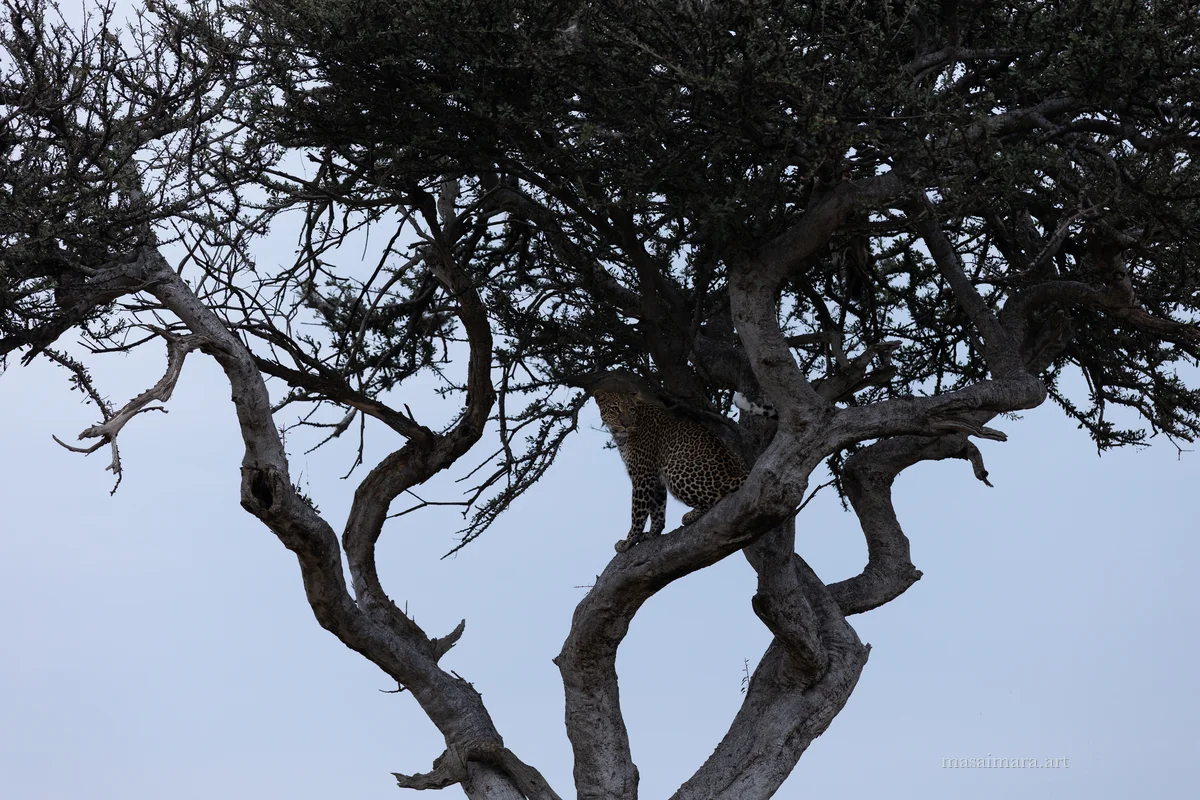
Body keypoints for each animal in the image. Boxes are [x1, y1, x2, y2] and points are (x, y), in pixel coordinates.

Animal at [594, 389, 749, 552]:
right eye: (615, 409)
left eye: (631, 410)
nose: (626, 424)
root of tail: (733, 474)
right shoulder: (655, 478)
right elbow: (658, 510)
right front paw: (651, 534)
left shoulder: (642, 475)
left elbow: (638, 513)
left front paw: (627, 542)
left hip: (673, 468)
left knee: (712, 500)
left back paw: (689, 516)